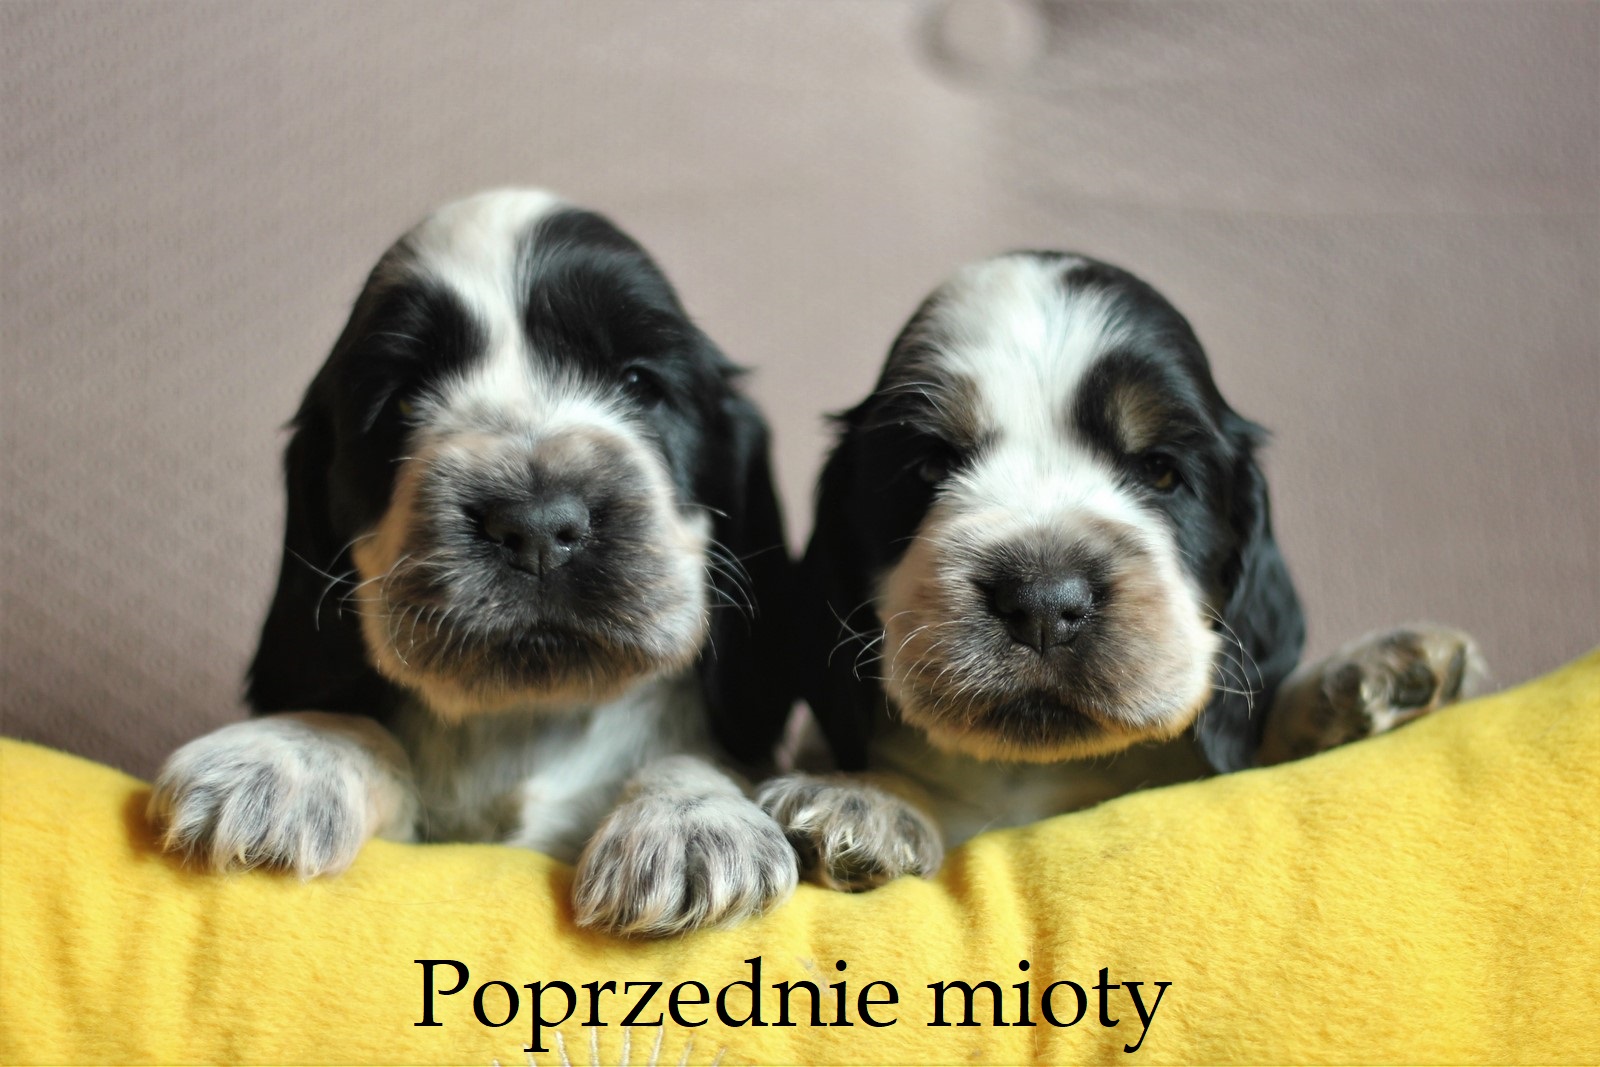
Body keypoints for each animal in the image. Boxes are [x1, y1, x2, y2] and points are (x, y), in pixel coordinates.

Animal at [148, 189, 799, 936]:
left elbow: (694, 755)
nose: (537, 524)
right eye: (403, 400)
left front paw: (691, 822)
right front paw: (281, 757)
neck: (530, 719)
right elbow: (363, 727)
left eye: (639, 383)